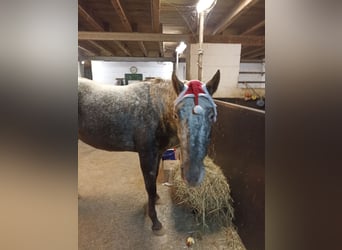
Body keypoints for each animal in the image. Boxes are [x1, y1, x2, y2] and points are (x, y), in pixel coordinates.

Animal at [78, 70, 220, 234]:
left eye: (211, 115)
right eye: (176, 114)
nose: (193, 176)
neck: (158, 109)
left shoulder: (157, 153)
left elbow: (153, 182)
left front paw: (155, 200)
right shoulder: (147, 155)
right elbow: (150, 186)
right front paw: (155, 221)